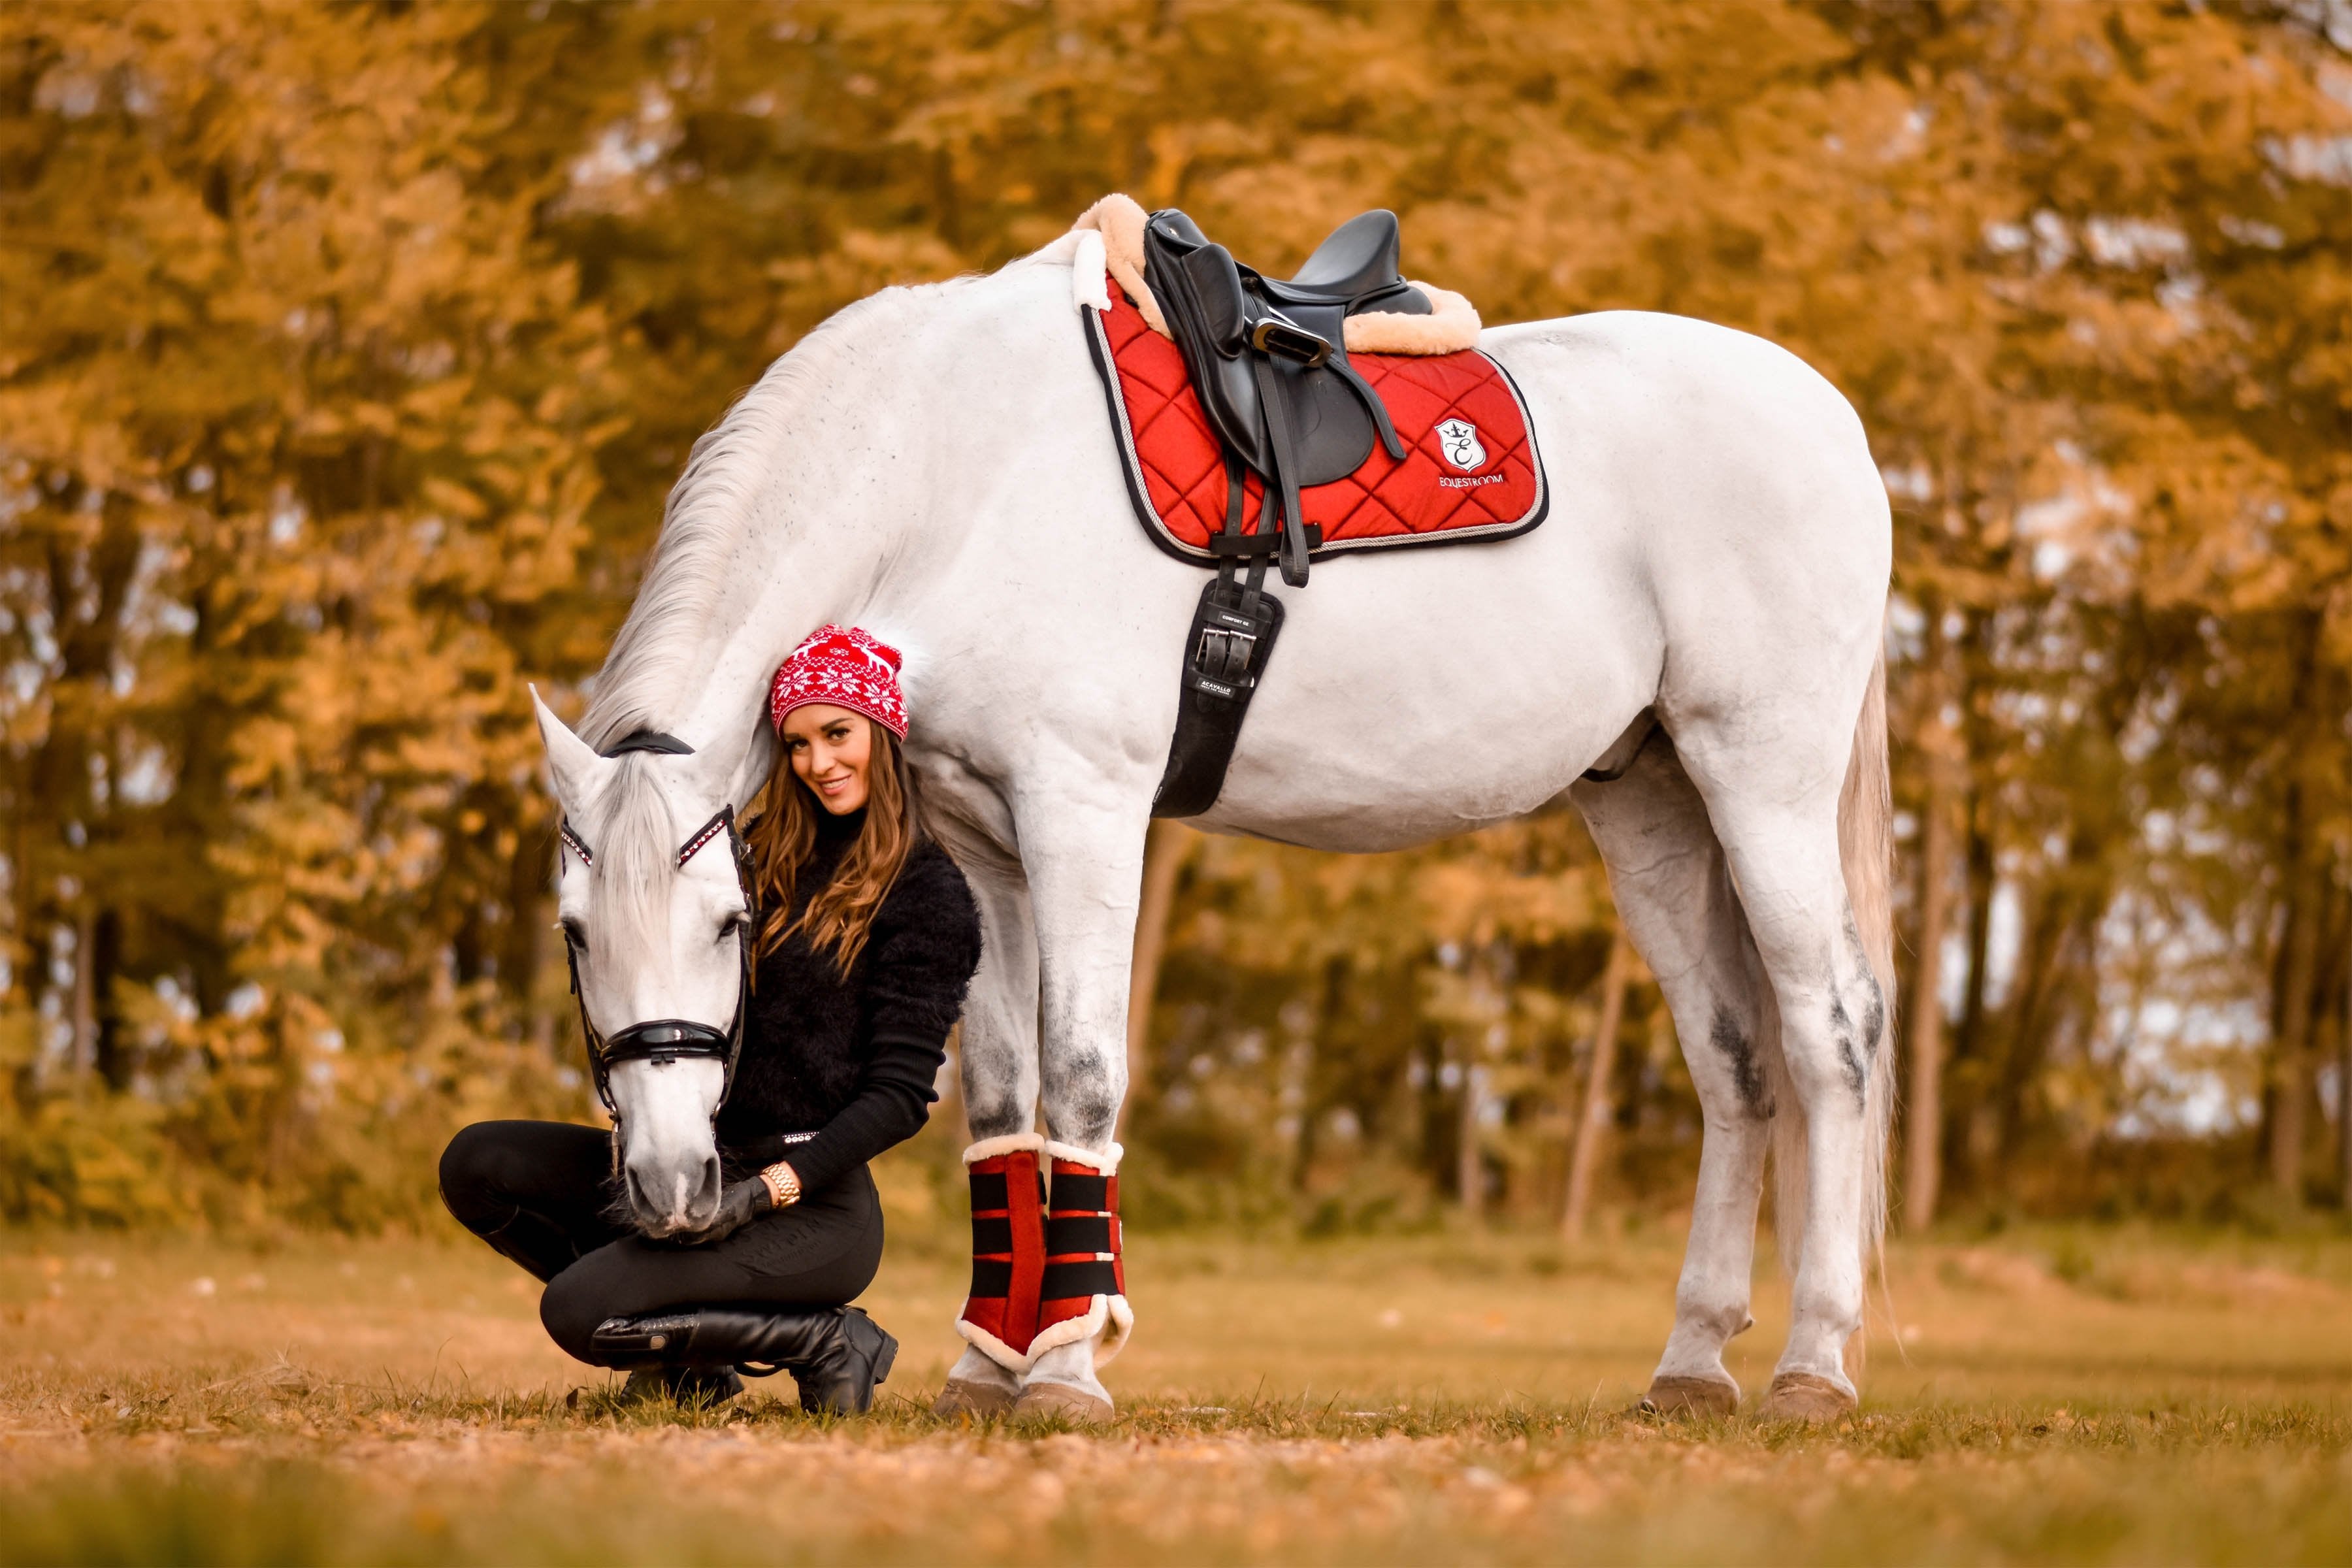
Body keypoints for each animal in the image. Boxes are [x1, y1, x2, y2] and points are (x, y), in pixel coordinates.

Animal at [534, 233, 1891, 1420]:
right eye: (576, 935)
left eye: (729, 921)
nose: (670, 1186)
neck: (948, 473)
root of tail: (1831, 414)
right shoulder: (982, 850)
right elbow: (1002, 1100)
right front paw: (986, 1368)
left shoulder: (1085, 807)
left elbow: (1083, 1076)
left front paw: (1064, 1373)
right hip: (1650, 800)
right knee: (1735, 1060)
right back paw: (1693, 1362)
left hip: (1761, 774)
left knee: (1831, 1035)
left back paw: (1815, 1366)